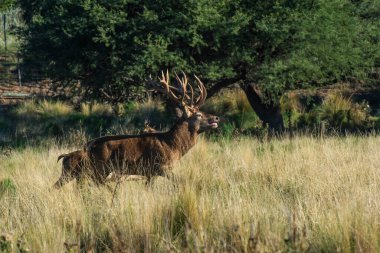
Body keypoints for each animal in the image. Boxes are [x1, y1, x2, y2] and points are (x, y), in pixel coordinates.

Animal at [54, 71, 220, 188]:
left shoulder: (150, 173)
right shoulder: (160, 167)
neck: (173, 146)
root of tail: (88, 146)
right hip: (99, 169)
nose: (216, 118)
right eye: (198, 115)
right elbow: (180, 181)